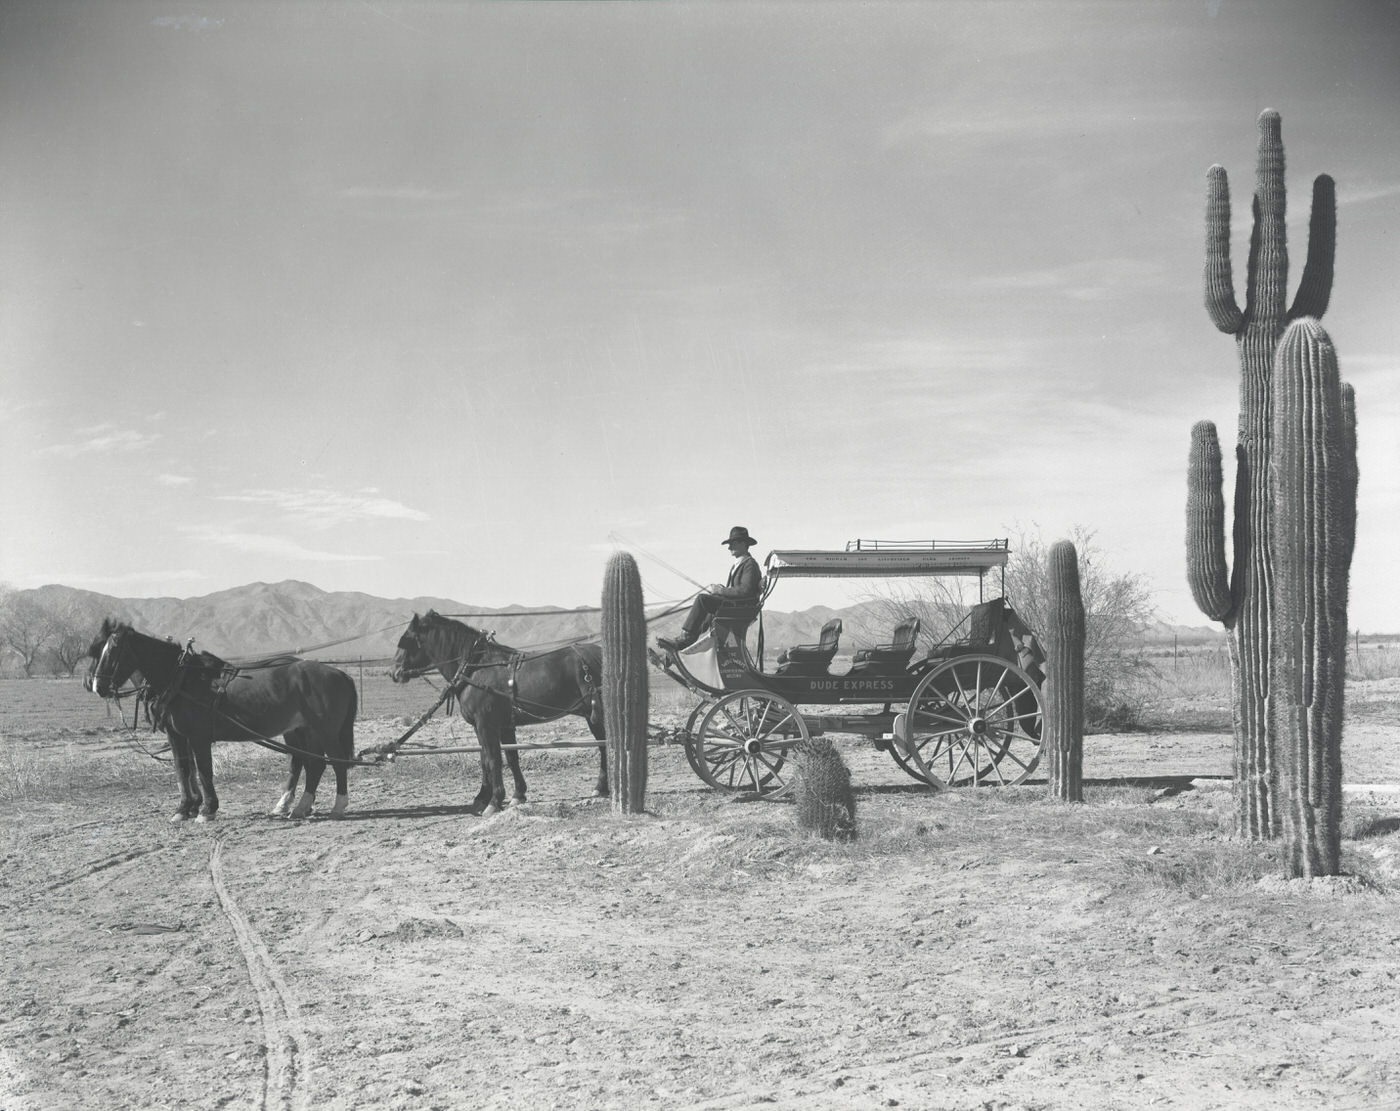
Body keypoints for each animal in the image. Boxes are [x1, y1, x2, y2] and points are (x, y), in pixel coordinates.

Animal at [86, 618, 358, 817]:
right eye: (98, 651)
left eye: (113, 652)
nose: (96, 686)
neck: (182, 679)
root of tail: (339, 673)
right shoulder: (177, 735)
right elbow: (183, 768)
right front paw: (184, 809)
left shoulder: (198, 736)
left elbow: (203, 770)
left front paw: (206, 809)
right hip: (303, 730)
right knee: (311, 763)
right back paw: (298, 806)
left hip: (324, 730)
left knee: (335, 762)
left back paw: (337, 806)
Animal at [389, 607, 607, 811]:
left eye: (405, 641)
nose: (393, 672)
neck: (475, 668)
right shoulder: (498, 726)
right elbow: (502, 758)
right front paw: (510, 795)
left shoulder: (487, 725)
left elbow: (494, 759)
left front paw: (494, 801)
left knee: (605, 744)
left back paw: (602, 787)